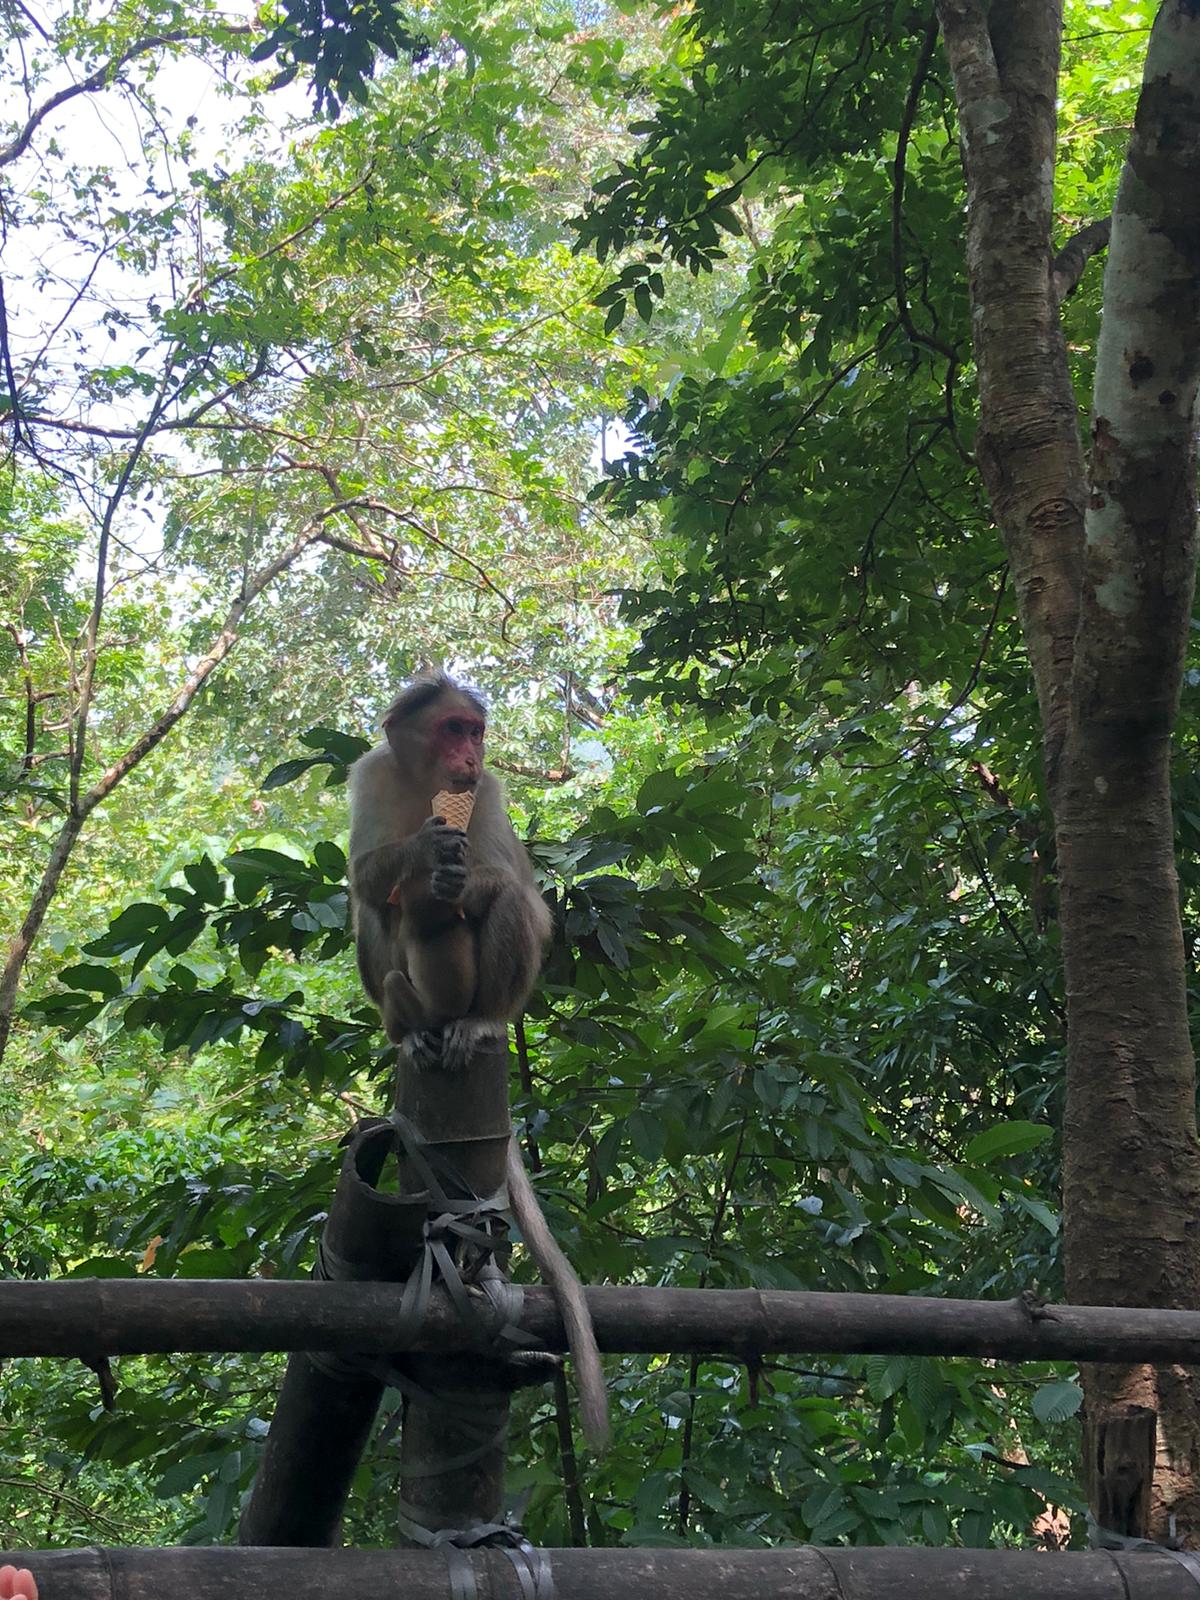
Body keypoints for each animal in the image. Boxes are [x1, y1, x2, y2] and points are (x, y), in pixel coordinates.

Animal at [348, 674, 610, 1452]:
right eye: (452, 728)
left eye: (475, 732)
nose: (471, 753)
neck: (428, 783)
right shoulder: (370, 776)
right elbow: (364, 873)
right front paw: (420, 854)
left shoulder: (487, 791)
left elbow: (515, 884)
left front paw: (462, 881)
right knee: (375, 912)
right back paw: (410, 1025)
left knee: (513, 899)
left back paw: (478, 1017)